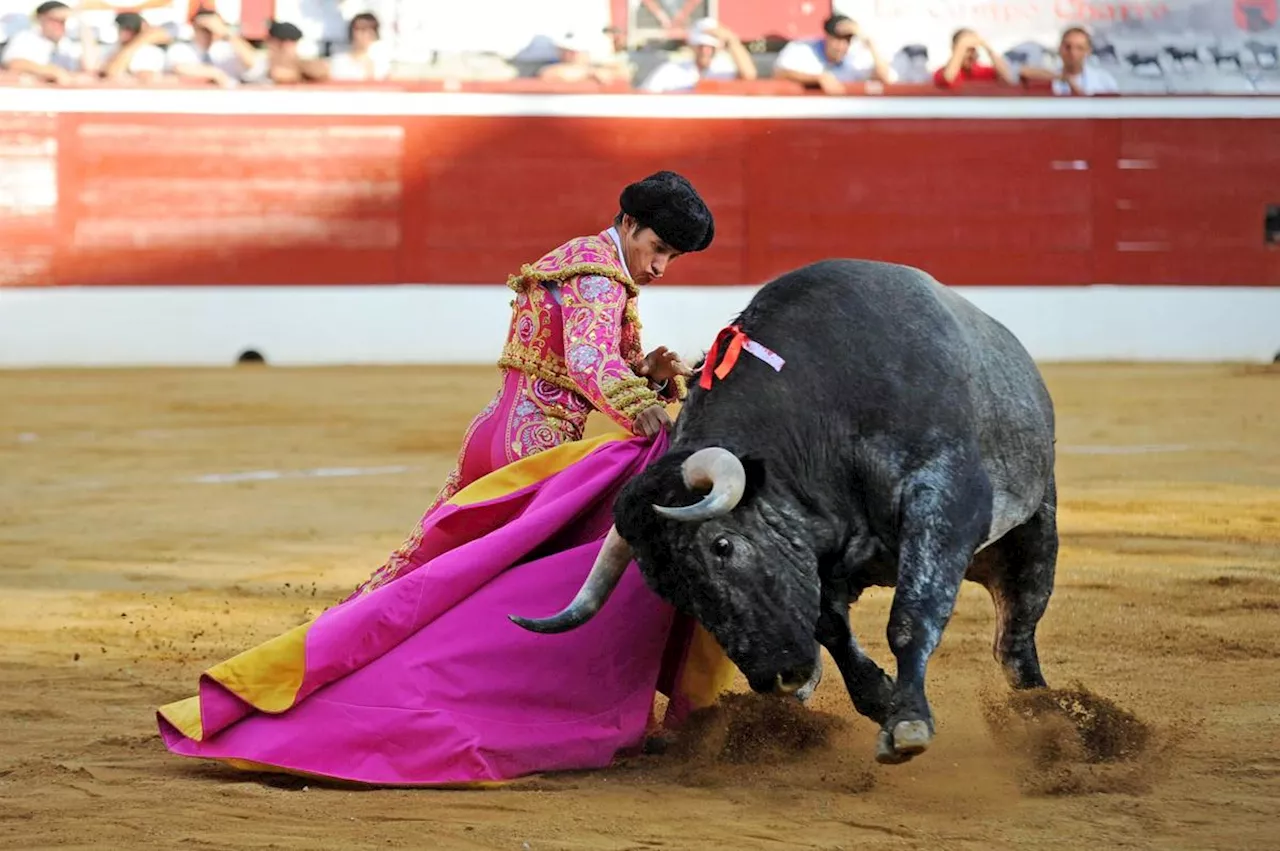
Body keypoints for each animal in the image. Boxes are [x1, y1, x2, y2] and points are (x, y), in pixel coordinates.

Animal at [509, 257, 1059, 762]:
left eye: (723, 545)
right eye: (672, 592)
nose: (777, 678)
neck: (821, 417)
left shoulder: (942, 501)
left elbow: (911, 614)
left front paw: (906, 724)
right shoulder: (818, 559)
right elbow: (830, 627)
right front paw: (879, 697)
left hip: (1032, 531)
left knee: (1014, 638)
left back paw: (1046, 724)